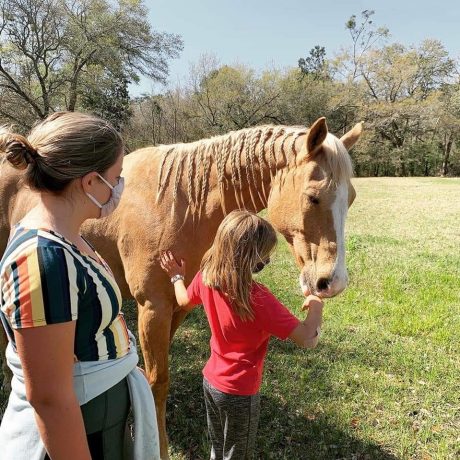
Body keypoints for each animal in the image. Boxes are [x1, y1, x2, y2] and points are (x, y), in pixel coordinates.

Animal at [0, 117, 362, 458]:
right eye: (313, 197)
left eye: (352, 199)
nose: (331, 282)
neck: (181, 206)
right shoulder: (152, 308)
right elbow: (157, 381)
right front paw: (158, 447)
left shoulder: (178, 308)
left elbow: (157, 374)